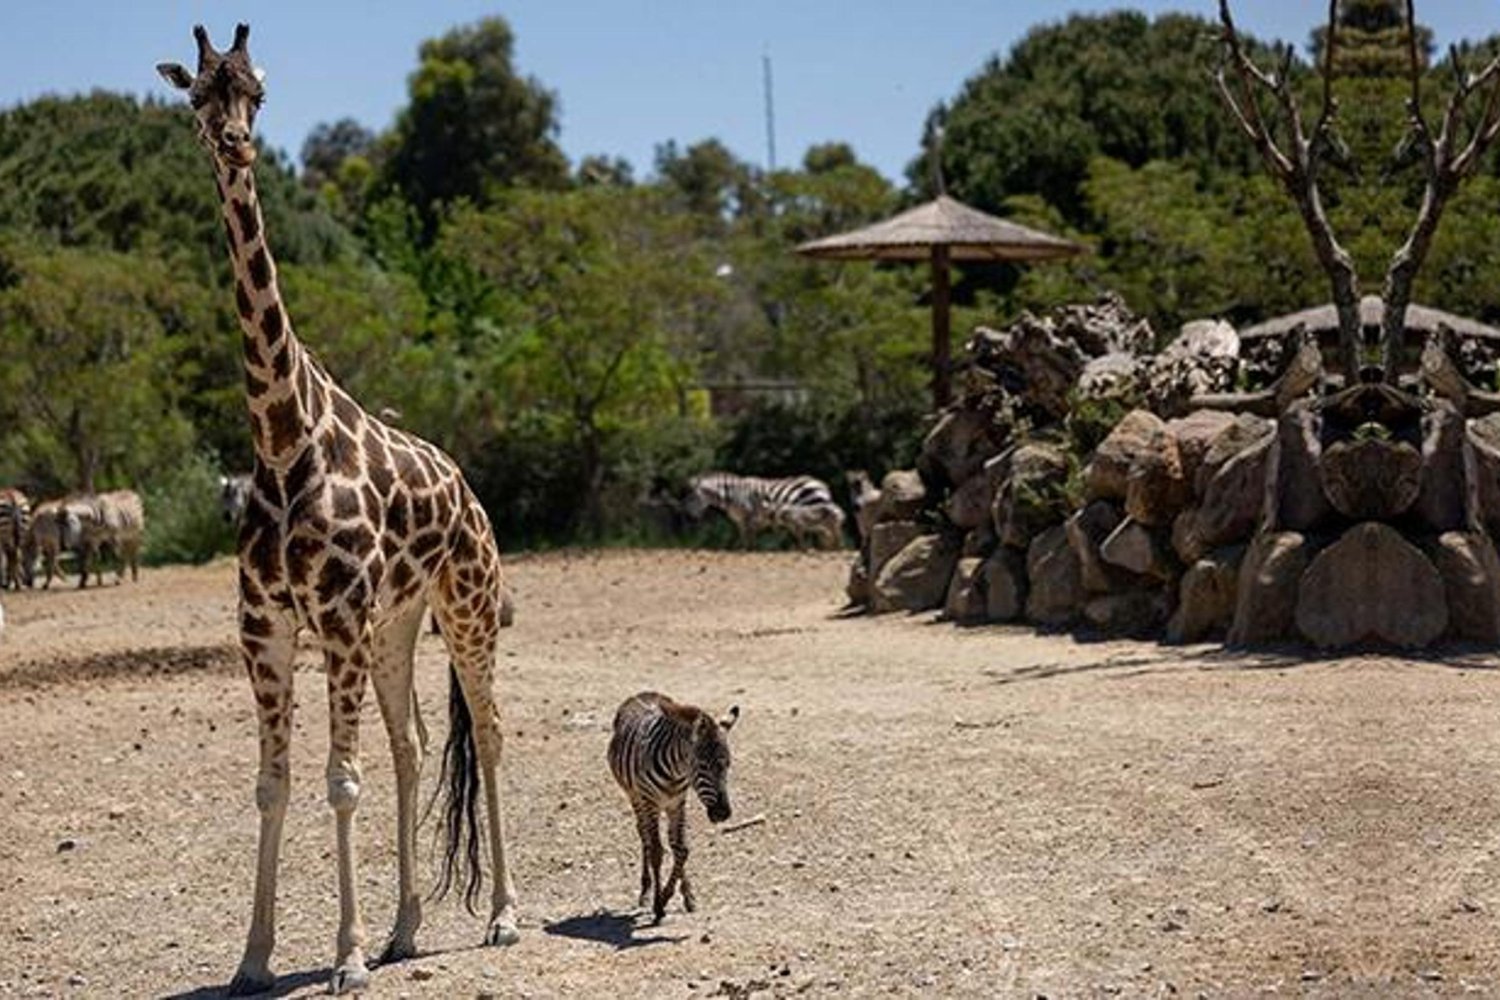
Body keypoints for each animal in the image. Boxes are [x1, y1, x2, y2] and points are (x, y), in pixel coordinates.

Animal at [607, 691, 739, 922]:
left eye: (728, 764)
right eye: (702, 765)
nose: (723, 813)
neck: (675, 771)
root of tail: (642, 694)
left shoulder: (678, 802)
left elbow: (681, 849)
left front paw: (677, 895)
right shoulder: (649, 801)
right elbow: (657, 852)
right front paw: (658, 904)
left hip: (667, 806)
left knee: (671, 841)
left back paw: (684, 895)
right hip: (636, 797)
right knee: (644, 835)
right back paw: (645, 891)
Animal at [683, 472, 844, 549]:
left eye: (692, 497)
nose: (690, 517)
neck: (732, 495)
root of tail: (821, 484)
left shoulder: (749, 517)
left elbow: (749, 541)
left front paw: (748, 552)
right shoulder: (741, 522)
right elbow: (744, 540)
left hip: (813, 510)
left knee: (830, 530)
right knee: (825, 533)